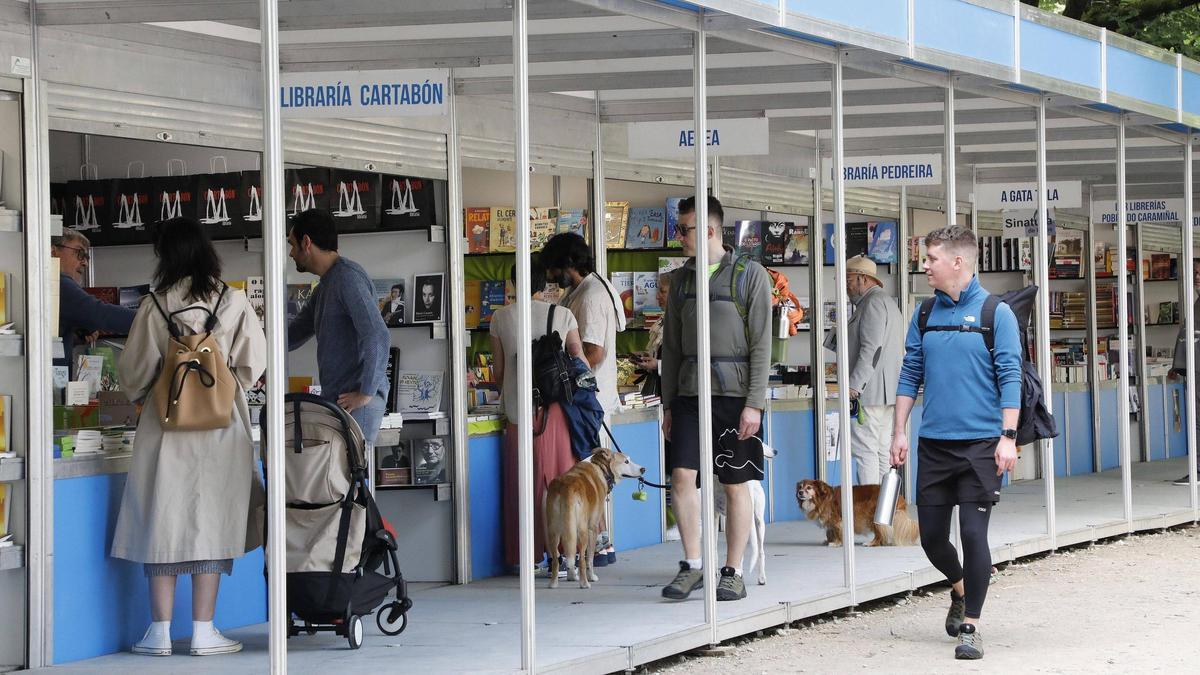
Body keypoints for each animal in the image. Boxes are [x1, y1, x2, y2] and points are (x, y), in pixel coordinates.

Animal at [547, 449, 648, 586]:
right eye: (626, 461)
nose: (643, 469)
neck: (600, 467)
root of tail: (566, 487)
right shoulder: (592, 527)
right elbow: (589, 558)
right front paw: (592, 576)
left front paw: (572, 576)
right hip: (582, 530)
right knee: (582, 558)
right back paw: (585, 583)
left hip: (554, 530)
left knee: (557, 558)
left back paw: (553, 584)